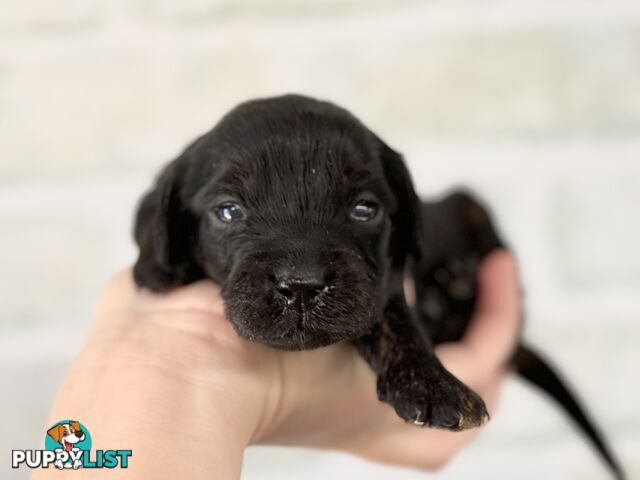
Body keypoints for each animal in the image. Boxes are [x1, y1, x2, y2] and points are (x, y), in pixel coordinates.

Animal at [134, 95, 620, 478]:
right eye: (228, 211)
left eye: (364, 209)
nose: (303, 285)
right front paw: (153, 266)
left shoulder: (383, 282)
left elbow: (394, 319)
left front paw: (435, 386)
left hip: (471, 206)